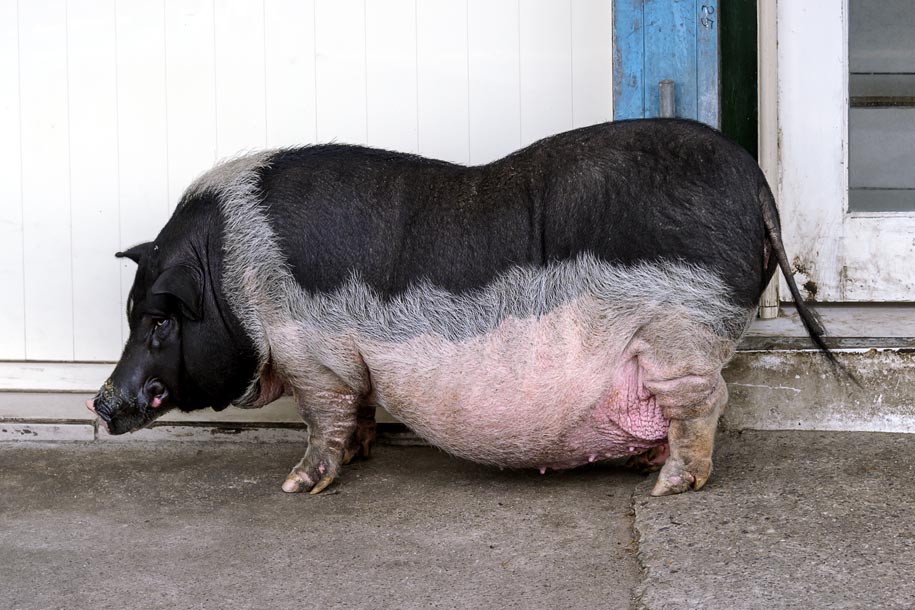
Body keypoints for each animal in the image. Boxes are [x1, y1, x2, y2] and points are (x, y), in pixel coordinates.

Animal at [87, 118, 833, 496]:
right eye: (131, 311)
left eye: (158, 320)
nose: (100, 402)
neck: (232, 279)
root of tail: (754, 179)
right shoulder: (348, 364)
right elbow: (359, 410)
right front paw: (361, 454)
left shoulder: (314, 356)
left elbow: (324, 417)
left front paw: (297, 485)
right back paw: (648, 469)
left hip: (680, 333)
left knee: (706, 404)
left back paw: (668, 485)